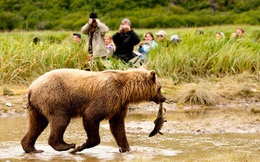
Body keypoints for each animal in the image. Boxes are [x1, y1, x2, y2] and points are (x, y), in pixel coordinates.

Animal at [21, 68, 166, 153]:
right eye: (159, 88)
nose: (164, 98)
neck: (126, 90)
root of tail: (31, 88)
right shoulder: (108, 95)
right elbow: (91, 116)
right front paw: (81, 146)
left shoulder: (119, 105)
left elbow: (117, 126)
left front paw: (126, 148)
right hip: (56, 98)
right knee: (60, 120)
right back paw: (66, 145)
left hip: (36, 106)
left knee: (37, 124)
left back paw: (31, 148)